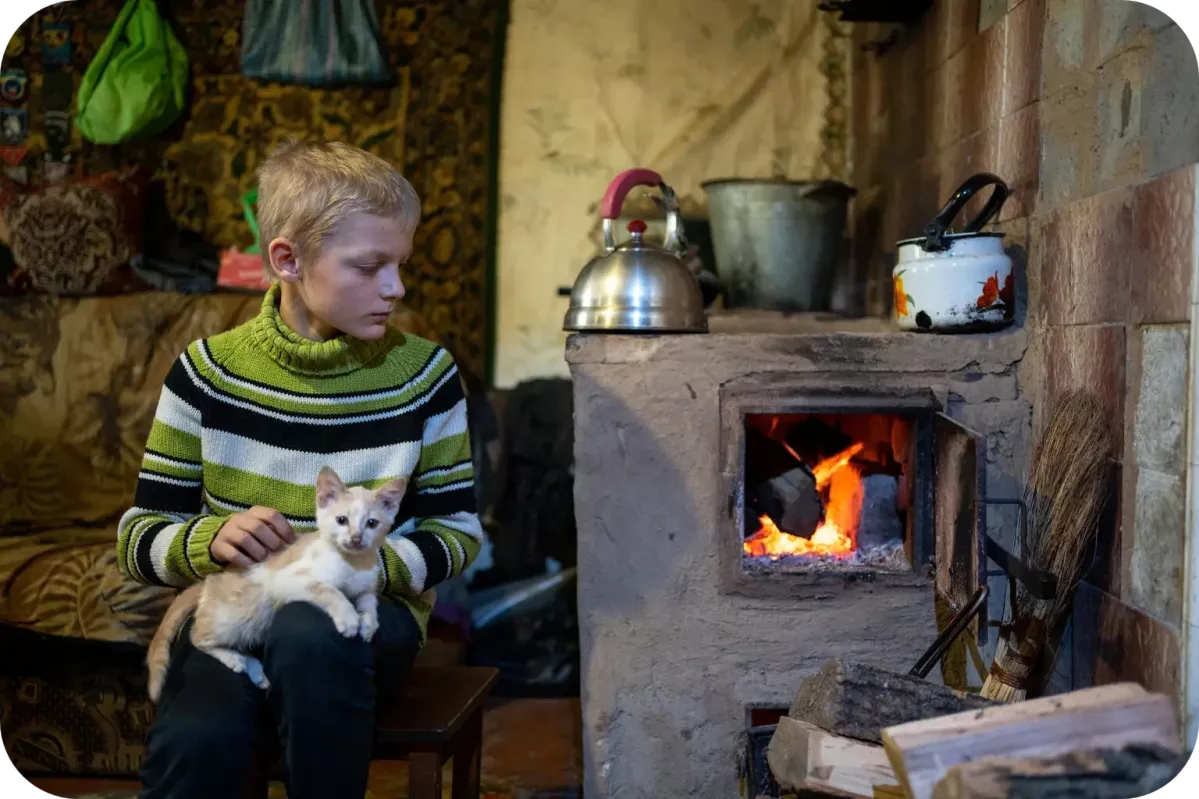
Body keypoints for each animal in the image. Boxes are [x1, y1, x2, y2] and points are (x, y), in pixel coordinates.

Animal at [143, 463, 407, 700]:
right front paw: (349, 617)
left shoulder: (366, 585)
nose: (356, 539)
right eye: (341, 520)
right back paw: (234, 659)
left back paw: (255, 670)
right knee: (197, 637)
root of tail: (207, 581)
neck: (352, 564)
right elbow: (328, 589)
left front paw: (369, 624)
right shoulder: (285, 579)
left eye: (371, 523)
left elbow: (369, 601)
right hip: (230, 620)